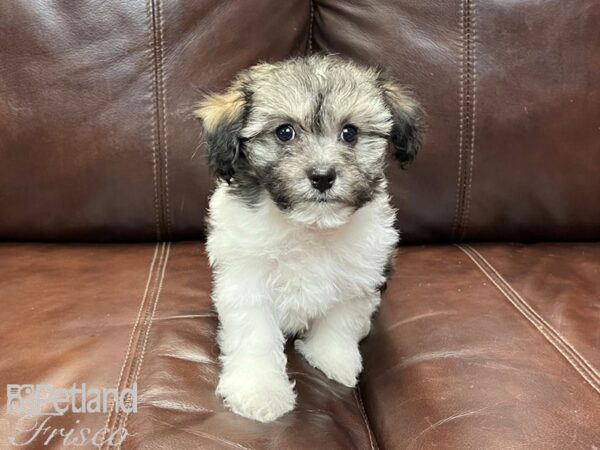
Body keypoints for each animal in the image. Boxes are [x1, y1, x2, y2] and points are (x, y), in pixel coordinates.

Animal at [195, 54, 420, 424]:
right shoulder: (246, 279)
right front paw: (259, 391)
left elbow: (341, 321)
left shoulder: (358, 274)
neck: (310, 225)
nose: (322, 176)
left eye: (350, 133)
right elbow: (255, 336)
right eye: (285, 132)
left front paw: (332, 358)